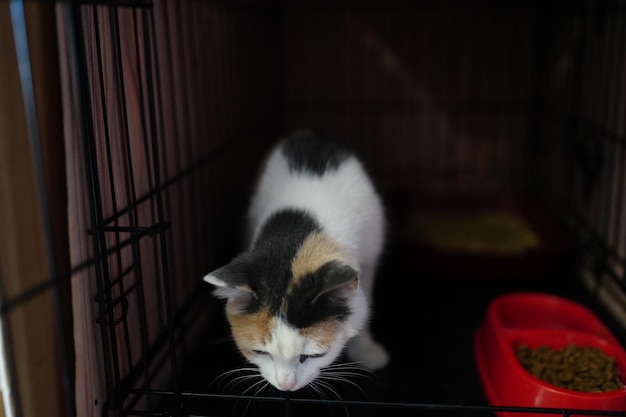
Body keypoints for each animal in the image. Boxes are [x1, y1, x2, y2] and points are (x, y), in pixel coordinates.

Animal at [205, 130, 388, 390]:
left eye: (314, 355)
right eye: (261, 352)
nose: (285, 386)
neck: (299, 229)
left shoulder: (371, 253)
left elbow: (366, 301)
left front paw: (365, 349)